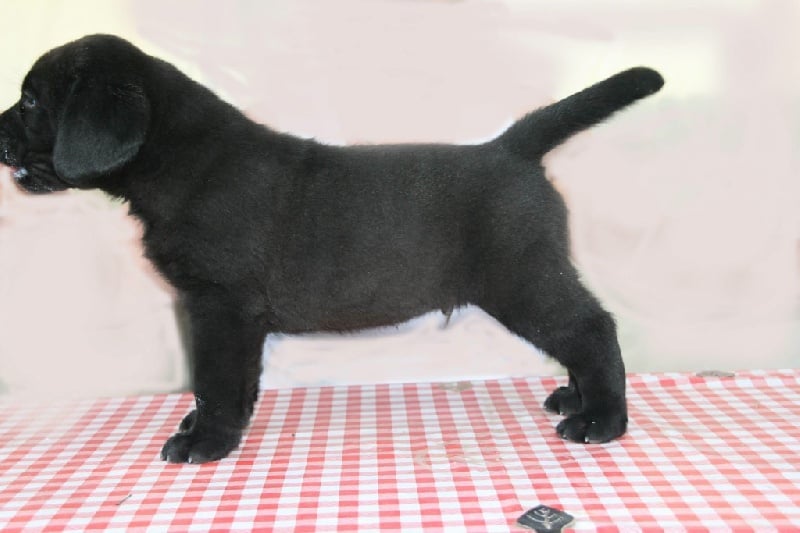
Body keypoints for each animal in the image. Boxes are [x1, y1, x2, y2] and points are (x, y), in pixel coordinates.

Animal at [0, 35, 662, 463]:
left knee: (591, 327)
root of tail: (510, 148)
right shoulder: (228, 315)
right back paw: (575, 395)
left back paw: (602, 419)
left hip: (522, 278)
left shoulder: (219, 305)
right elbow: (234, 381)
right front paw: (220, 423)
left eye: (31, 101)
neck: (184, 162)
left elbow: (214, 378)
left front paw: (206, 441)